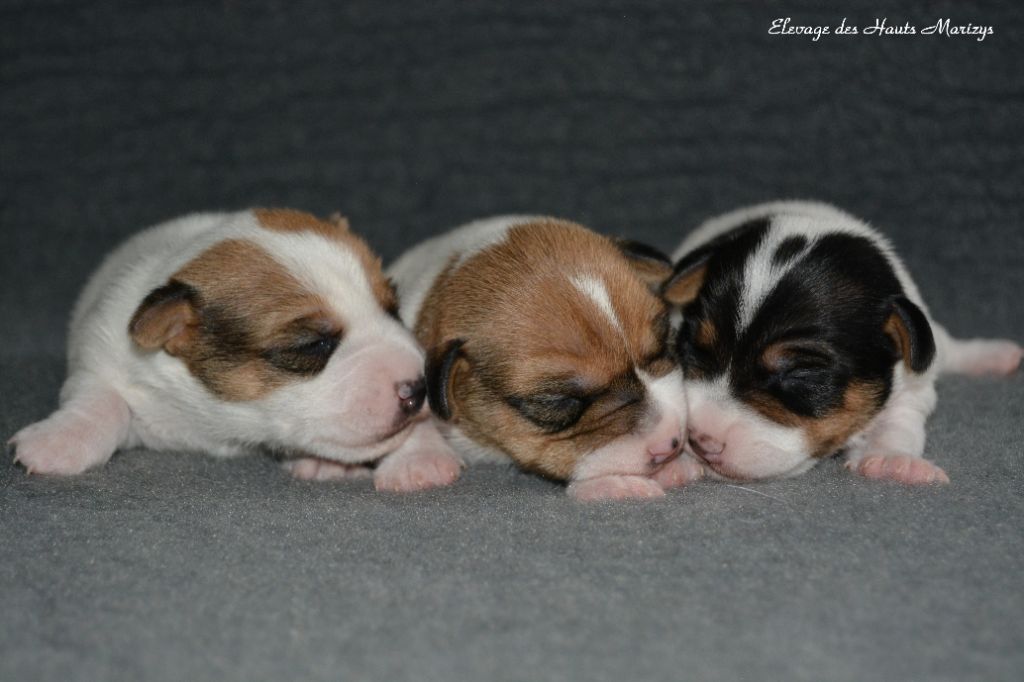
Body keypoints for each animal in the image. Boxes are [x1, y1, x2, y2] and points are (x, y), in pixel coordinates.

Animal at [9, 206, 460, 489]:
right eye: (314, 344)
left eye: (393, 308)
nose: (419, 387)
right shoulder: (100, 357)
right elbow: (101, 401)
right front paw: (57, 442)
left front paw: (420, 461)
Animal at [659, 201, 1019, 483]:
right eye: (695, 348)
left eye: (800, 374)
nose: (700, 441)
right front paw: (672, 464)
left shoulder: (911, 386)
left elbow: (899, 422)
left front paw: (892, 461)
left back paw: (995, 355)